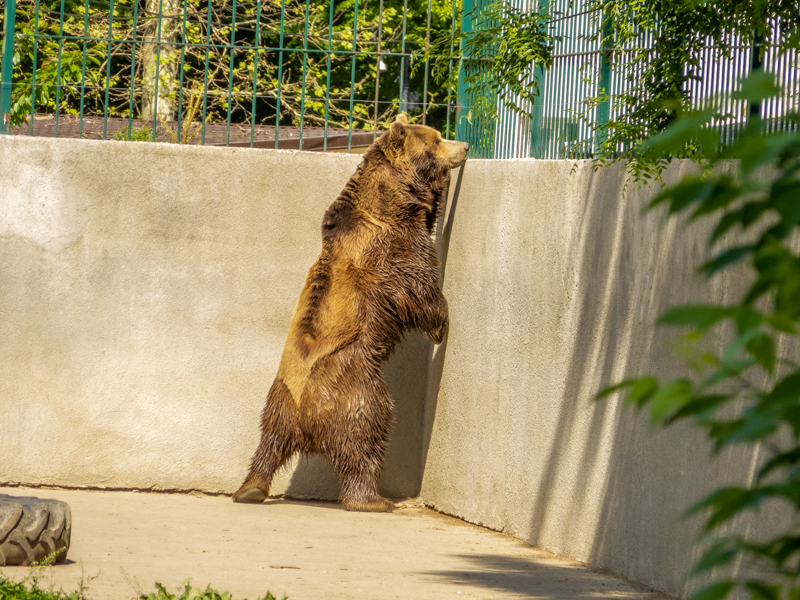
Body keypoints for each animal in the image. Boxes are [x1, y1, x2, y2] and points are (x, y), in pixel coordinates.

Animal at [233, 114, 469, 512]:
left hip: (278, 401)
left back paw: (250, 488)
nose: (465, 146)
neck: (392, 201)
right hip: (355, 388)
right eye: (436, 140)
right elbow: (420, 286)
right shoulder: (393, 250)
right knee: (368, 436)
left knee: (268, 442)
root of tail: (305, 419)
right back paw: (373, 500)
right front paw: (442, 322)